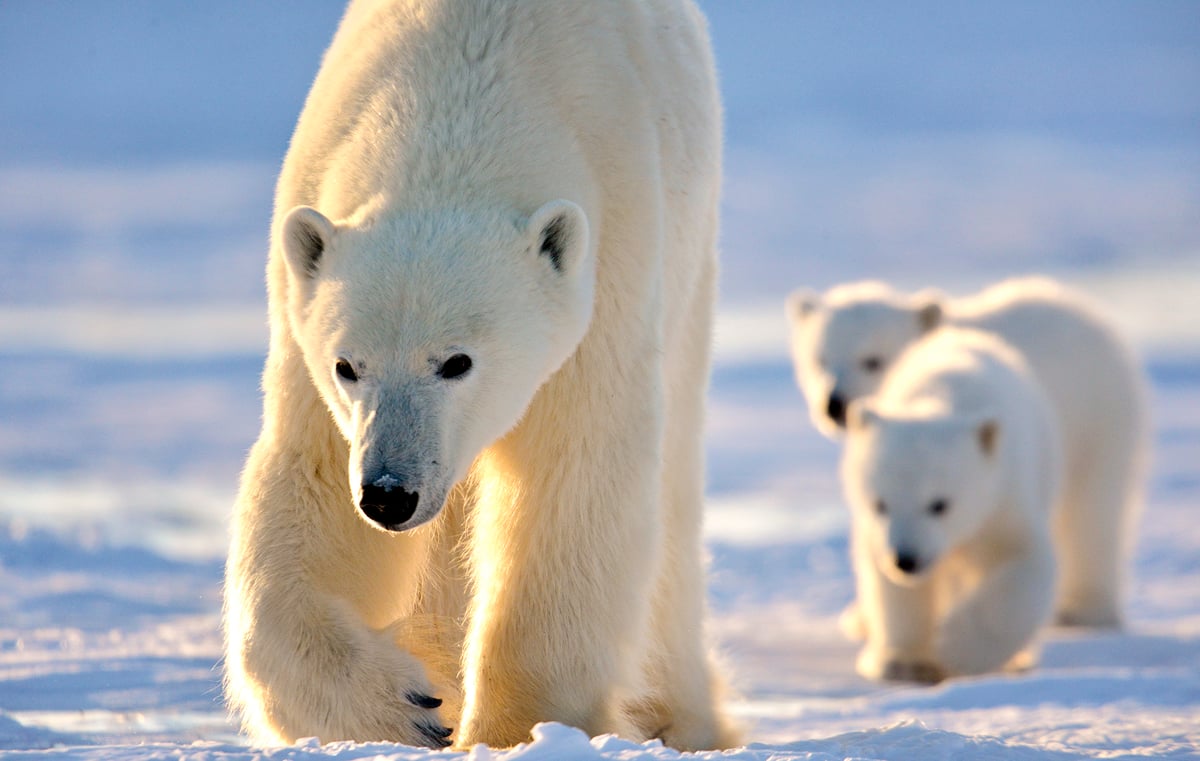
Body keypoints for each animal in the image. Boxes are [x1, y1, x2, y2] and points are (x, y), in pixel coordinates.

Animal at [223, 0, 729, 748]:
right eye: (348, 365)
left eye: (457, 361)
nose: (390, 494)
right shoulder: (304, 324)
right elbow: (312, 482)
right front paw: (404, 706)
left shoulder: (612, 265)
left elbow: (571, 483)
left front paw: (517, 728)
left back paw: (679, 716)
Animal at [787, 278, 1142, 628]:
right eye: (820, 360)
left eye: (873, 360)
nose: (834, 404)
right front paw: (861, 619)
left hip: (1099, 420)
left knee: (1092, 512)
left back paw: (1087, 610)